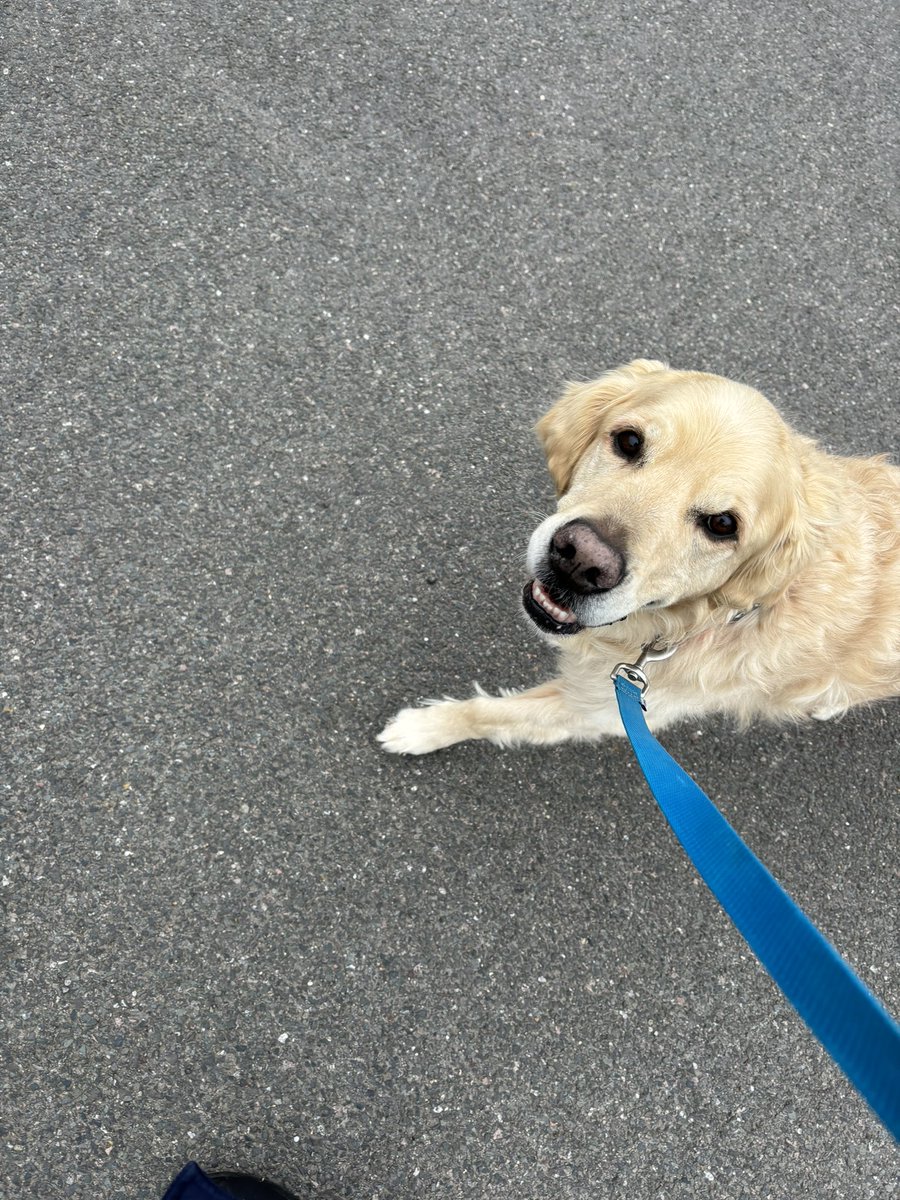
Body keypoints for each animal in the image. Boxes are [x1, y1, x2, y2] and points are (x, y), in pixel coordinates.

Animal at [381, 355, 900, 753]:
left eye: (722, 525)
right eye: (629, 440)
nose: (581, 561)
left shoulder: (600, 709)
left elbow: (493, 714)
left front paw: (425, 728)